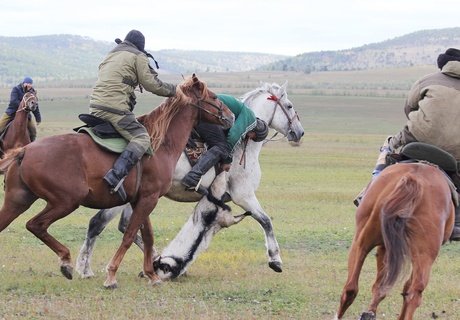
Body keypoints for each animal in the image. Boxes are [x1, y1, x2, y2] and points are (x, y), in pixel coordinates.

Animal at [0, 74, 234, 288]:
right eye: (213, 97)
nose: (231, 116)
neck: (161, 144)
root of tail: (25, 150)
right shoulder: (149, 199)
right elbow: (130, 235)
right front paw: (112, 276)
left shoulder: (142, 199)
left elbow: (147, 236)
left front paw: (152, 275)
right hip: (65, 202)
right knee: (36, 225)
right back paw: (66, 261)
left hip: (18, 201)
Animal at [76, 81, 306, 278]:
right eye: (289, 105)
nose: (299, 132)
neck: (245, 144)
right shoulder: (244, 195)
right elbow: (265, 221)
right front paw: (275, 260)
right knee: (100, 224)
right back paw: (87, 268)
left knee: (119, 225)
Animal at [336, 162, 454, 320]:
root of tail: (413, 178)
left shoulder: (385, 248)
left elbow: (381, 285)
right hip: (423, 254)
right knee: (413, 293)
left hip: (361, 243)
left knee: (350, 288)